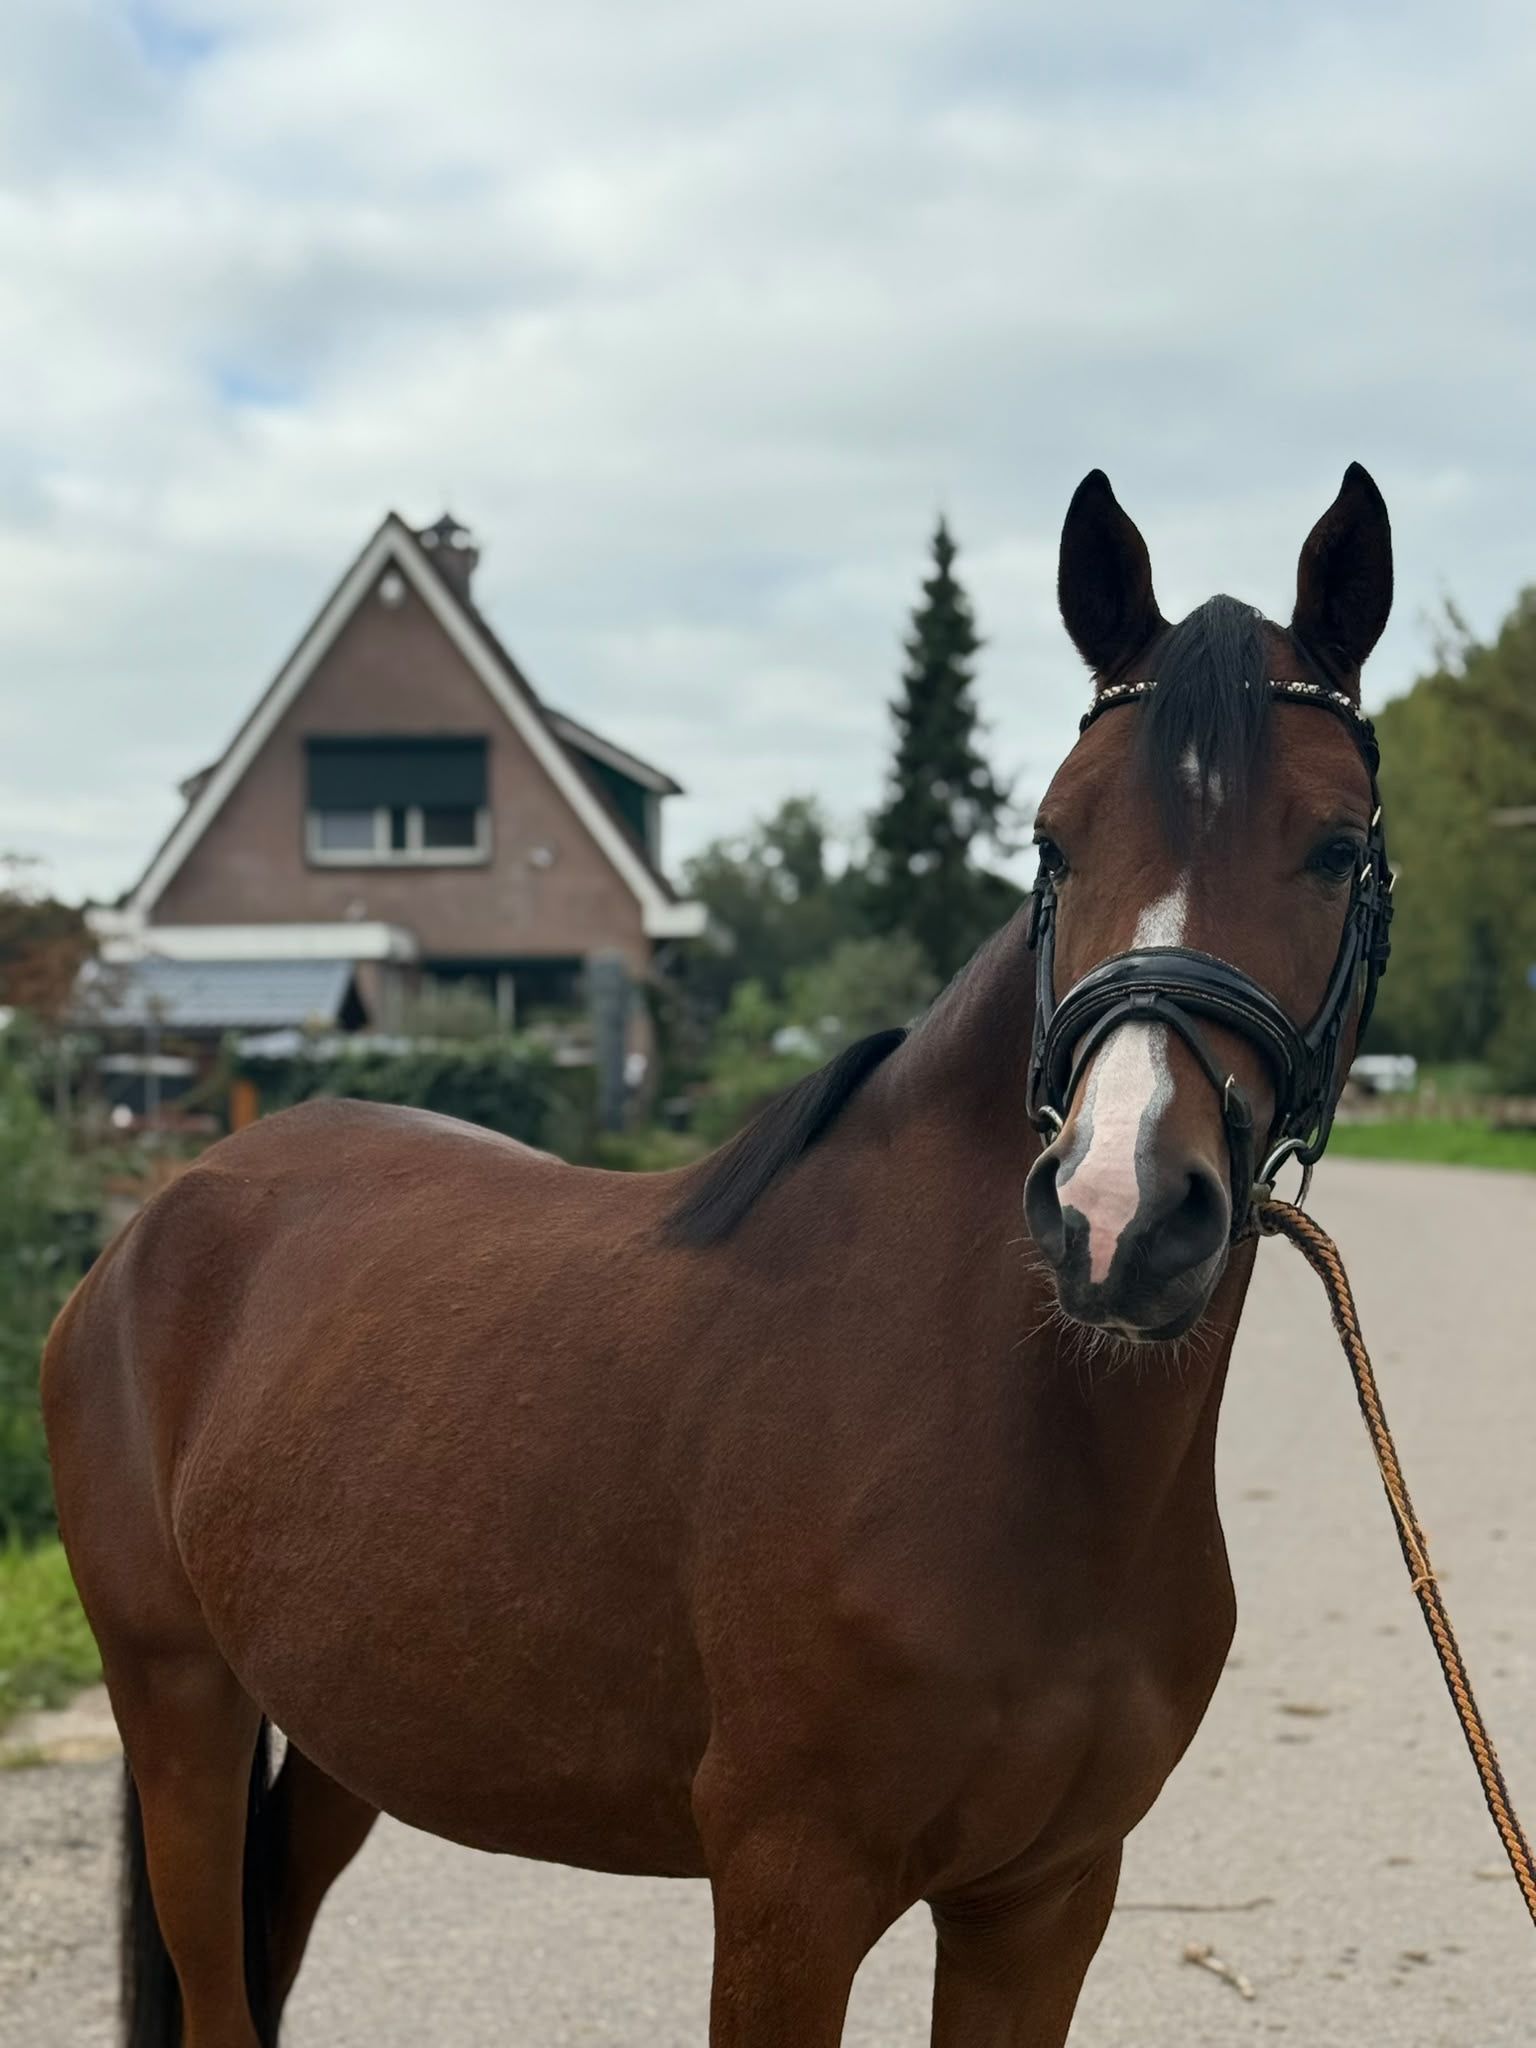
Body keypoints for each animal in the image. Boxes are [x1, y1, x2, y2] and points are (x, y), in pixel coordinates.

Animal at [42, 463, 1395, 2048]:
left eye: (1338, 846)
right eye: (1054, 839)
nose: (1117, 1212)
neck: (1000, 1425)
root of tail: (158, 1219)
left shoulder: (1044, 1900)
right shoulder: (786, 1893)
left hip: (335, 1739)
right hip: (178, 1709)